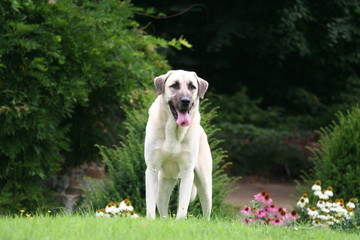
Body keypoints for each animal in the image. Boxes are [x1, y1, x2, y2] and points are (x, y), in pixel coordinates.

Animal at [143, 69, 211, 219]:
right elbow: (150, 205)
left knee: (207, 210)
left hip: (205, 183)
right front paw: (150, 220)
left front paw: (180, 221)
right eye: (174, 85)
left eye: (192, 87)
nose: (186, 101)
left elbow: (183, 206)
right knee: (162, 209)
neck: (173, 131)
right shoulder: (152, 169)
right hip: (163, 185)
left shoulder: (187, 172)